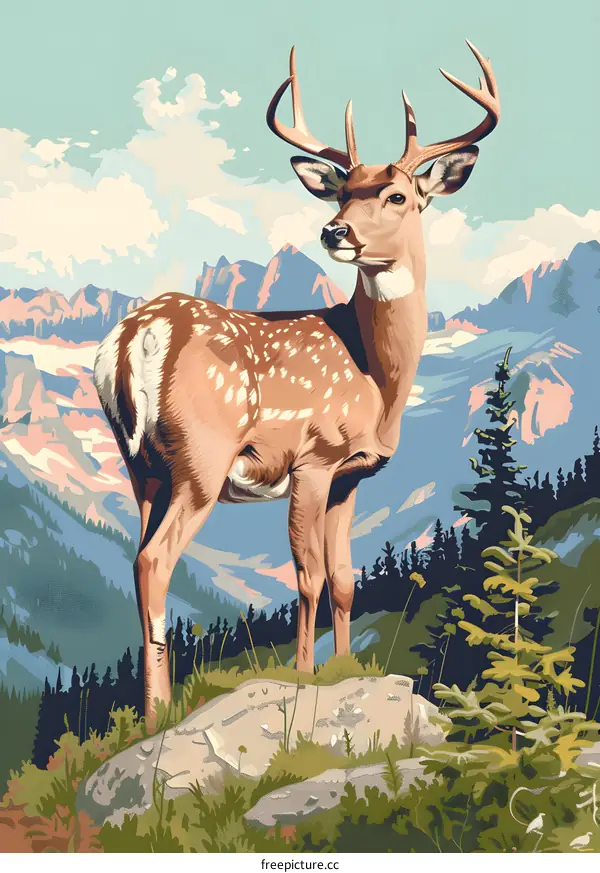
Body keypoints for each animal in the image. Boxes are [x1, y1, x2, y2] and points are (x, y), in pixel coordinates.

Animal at [93, 39, 499, 720]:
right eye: (342, 194)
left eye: (396, 196)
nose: (335, 231)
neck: (374, 377)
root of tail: (133, 340)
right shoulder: (313, 457)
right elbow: (306, 576)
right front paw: (305, 676)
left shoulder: (352, 474)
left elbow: (344, 579)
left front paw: (342, 668)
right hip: (202, 456)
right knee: (155, 559)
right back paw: (162, 711)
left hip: (140, 464)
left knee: (135, 560)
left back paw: (149, 711)